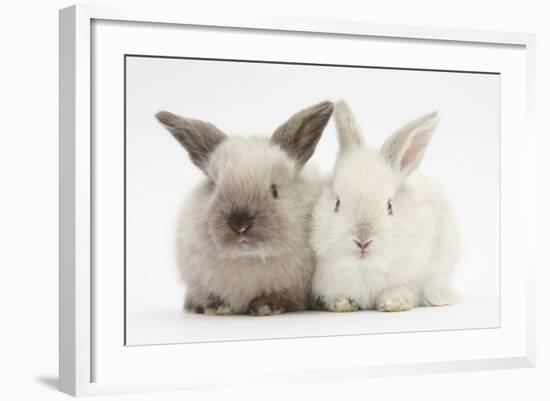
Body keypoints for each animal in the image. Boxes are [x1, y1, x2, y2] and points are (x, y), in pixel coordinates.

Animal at [157, 101, 334, 314]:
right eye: (214, 187)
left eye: (274, 190)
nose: (240, 223)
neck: (248, 258)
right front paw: (213, 307)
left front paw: (266, 306)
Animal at [310, 101, 462, 312]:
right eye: (337, 203)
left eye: (389, 206)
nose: (362, 241)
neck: (364, 268)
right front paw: (343, 304)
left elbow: (401, 289)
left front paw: (394, 303)